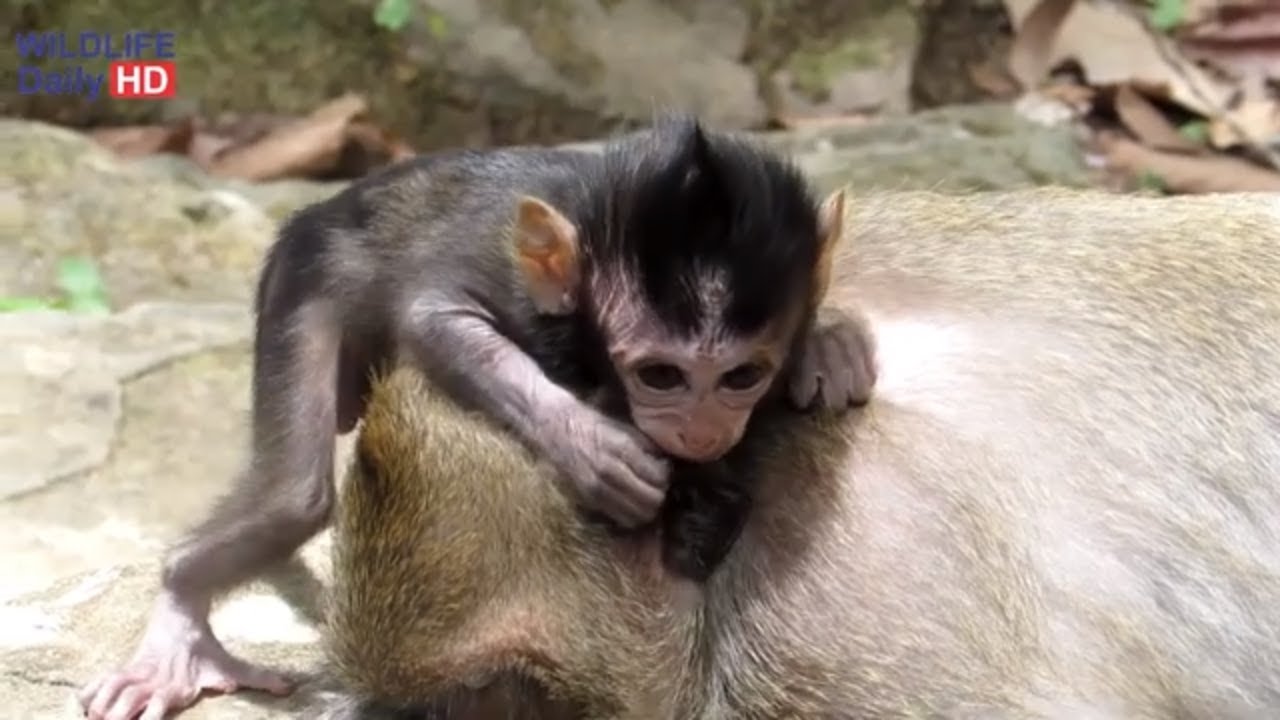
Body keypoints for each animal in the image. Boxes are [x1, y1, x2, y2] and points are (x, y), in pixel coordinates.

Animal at [78, 115, 878, 720]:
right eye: (662, 375)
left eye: (742, 376)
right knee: (292, 499)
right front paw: (595, 451)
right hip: (303, 276)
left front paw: (825, 343)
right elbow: (434, 320)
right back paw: (180, 617)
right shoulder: (519, 290)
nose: (703, 428)